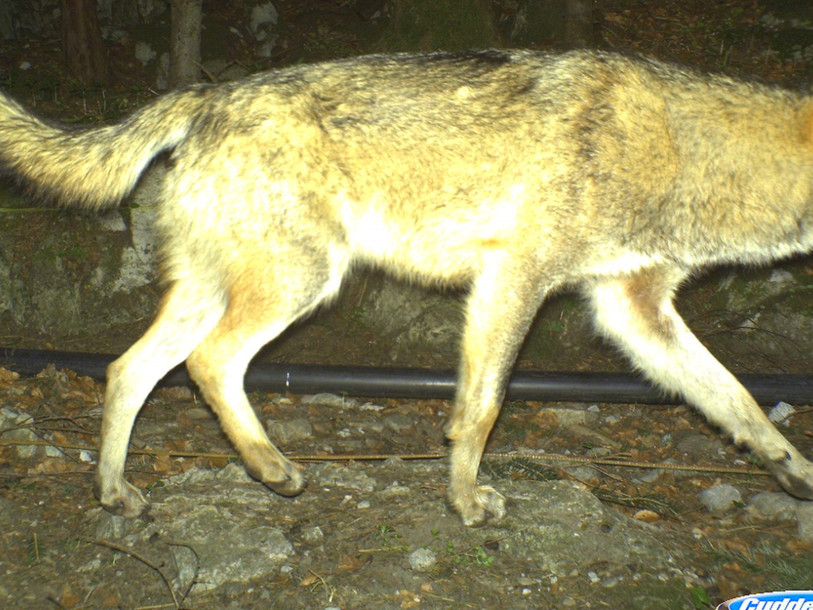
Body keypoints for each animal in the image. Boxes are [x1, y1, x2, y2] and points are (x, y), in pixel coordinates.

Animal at [0, 49, 811, 526]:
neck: (680, 149)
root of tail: (203, 97)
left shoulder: (633, 309)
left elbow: (737, 399)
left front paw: (792, 468)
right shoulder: (514, 279)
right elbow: (481, 409)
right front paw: (463, 500)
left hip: (216, 292)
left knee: (125, 370)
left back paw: (115, 492)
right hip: (302, 282)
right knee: (209, 364)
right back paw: (269, 468)